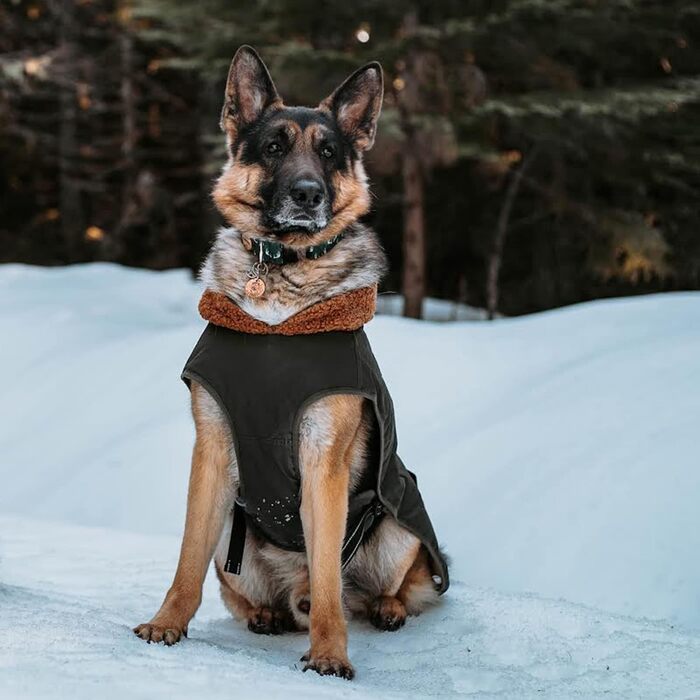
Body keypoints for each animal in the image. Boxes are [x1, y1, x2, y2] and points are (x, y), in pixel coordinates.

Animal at [133, 45, 446, 680]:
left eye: (327, 153)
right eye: (274, 147)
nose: (307, 194)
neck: (279, 285)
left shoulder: (323, 462)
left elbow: (328, 579)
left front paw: (330, 654)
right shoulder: (212, 448)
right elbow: (185, 560)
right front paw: (168, 623)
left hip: (397, 528)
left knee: (386, 586)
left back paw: (385, 608)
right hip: (234, 542)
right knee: (247, 590)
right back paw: (266, 613)